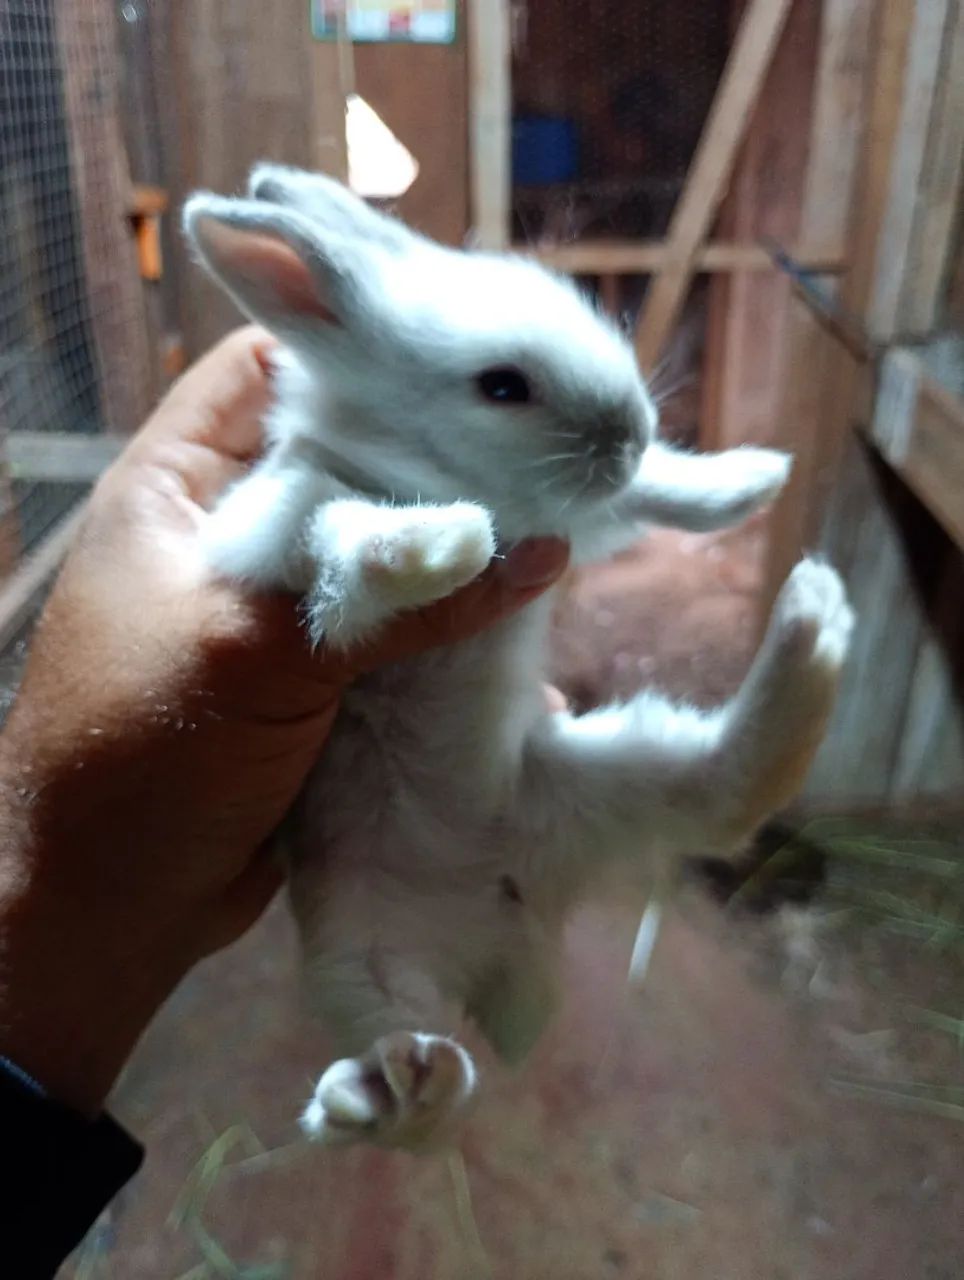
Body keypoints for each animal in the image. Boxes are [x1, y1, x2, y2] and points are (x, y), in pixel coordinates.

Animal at [183, 164, 853, 1152]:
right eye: (503, 387)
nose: (626, 433)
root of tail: (511, 916)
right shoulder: (285, 520)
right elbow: (345, 537)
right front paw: (447, 543)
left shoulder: (573, 518)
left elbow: (649, 496)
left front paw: (751, 477)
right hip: (353, 947)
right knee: (402, 1073)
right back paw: (391, 1089)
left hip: (607, 783)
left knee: (725, 785)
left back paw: (814, 615)